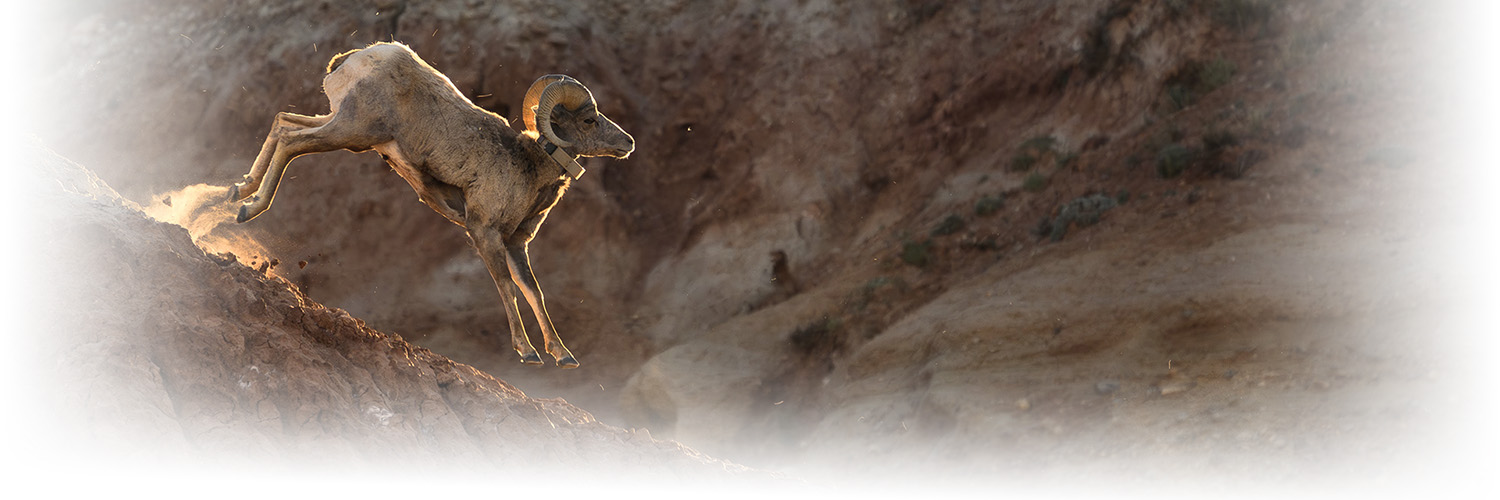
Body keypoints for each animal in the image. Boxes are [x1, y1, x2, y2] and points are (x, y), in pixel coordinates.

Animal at [227, 41, 635, 368]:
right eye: (590, 120)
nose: (628, 143)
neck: (528, 167)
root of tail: (354, 61)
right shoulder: (484, 232)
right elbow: (506, 286)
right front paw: (528, 352)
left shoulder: (516, 243)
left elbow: (534, 292)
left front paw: (563, 355)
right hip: (353, 132)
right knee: (291, 141)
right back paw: (249, 208)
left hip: (339, 123)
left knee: (283, 123)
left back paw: (236, 192)